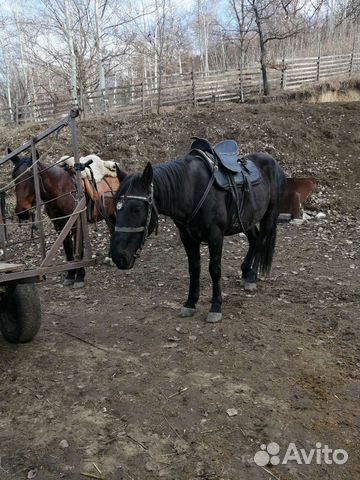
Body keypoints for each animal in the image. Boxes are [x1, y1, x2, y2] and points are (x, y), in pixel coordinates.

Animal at [8, 148, 126, 286]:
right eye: (14, 177)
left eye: (32, 177)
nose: (21, 212)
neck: (59, 189)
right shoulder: (59, 224)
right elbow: (68, 247)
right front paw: (70, 275)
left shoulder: (75, 222)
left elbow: (77, 249)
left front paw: (80, 276)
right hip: (109, 213)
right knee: (112, 230)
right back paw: (110, 257)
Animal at [111, 142, 286, 322]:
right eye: (116, 206)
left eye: (136, 209)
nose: (118, 257)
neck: (191, 189)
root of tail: (274, 163)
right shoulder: (187, 237)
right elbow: (194, 268)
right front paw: (190, 303)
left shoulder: (216, 236)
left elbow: (215, 270)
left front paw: (216, 307)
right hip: (247, 219)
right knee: (254, 240)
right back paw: (245, 272)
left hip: (269, 216)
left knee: (261, 241)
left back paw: (251, 277)